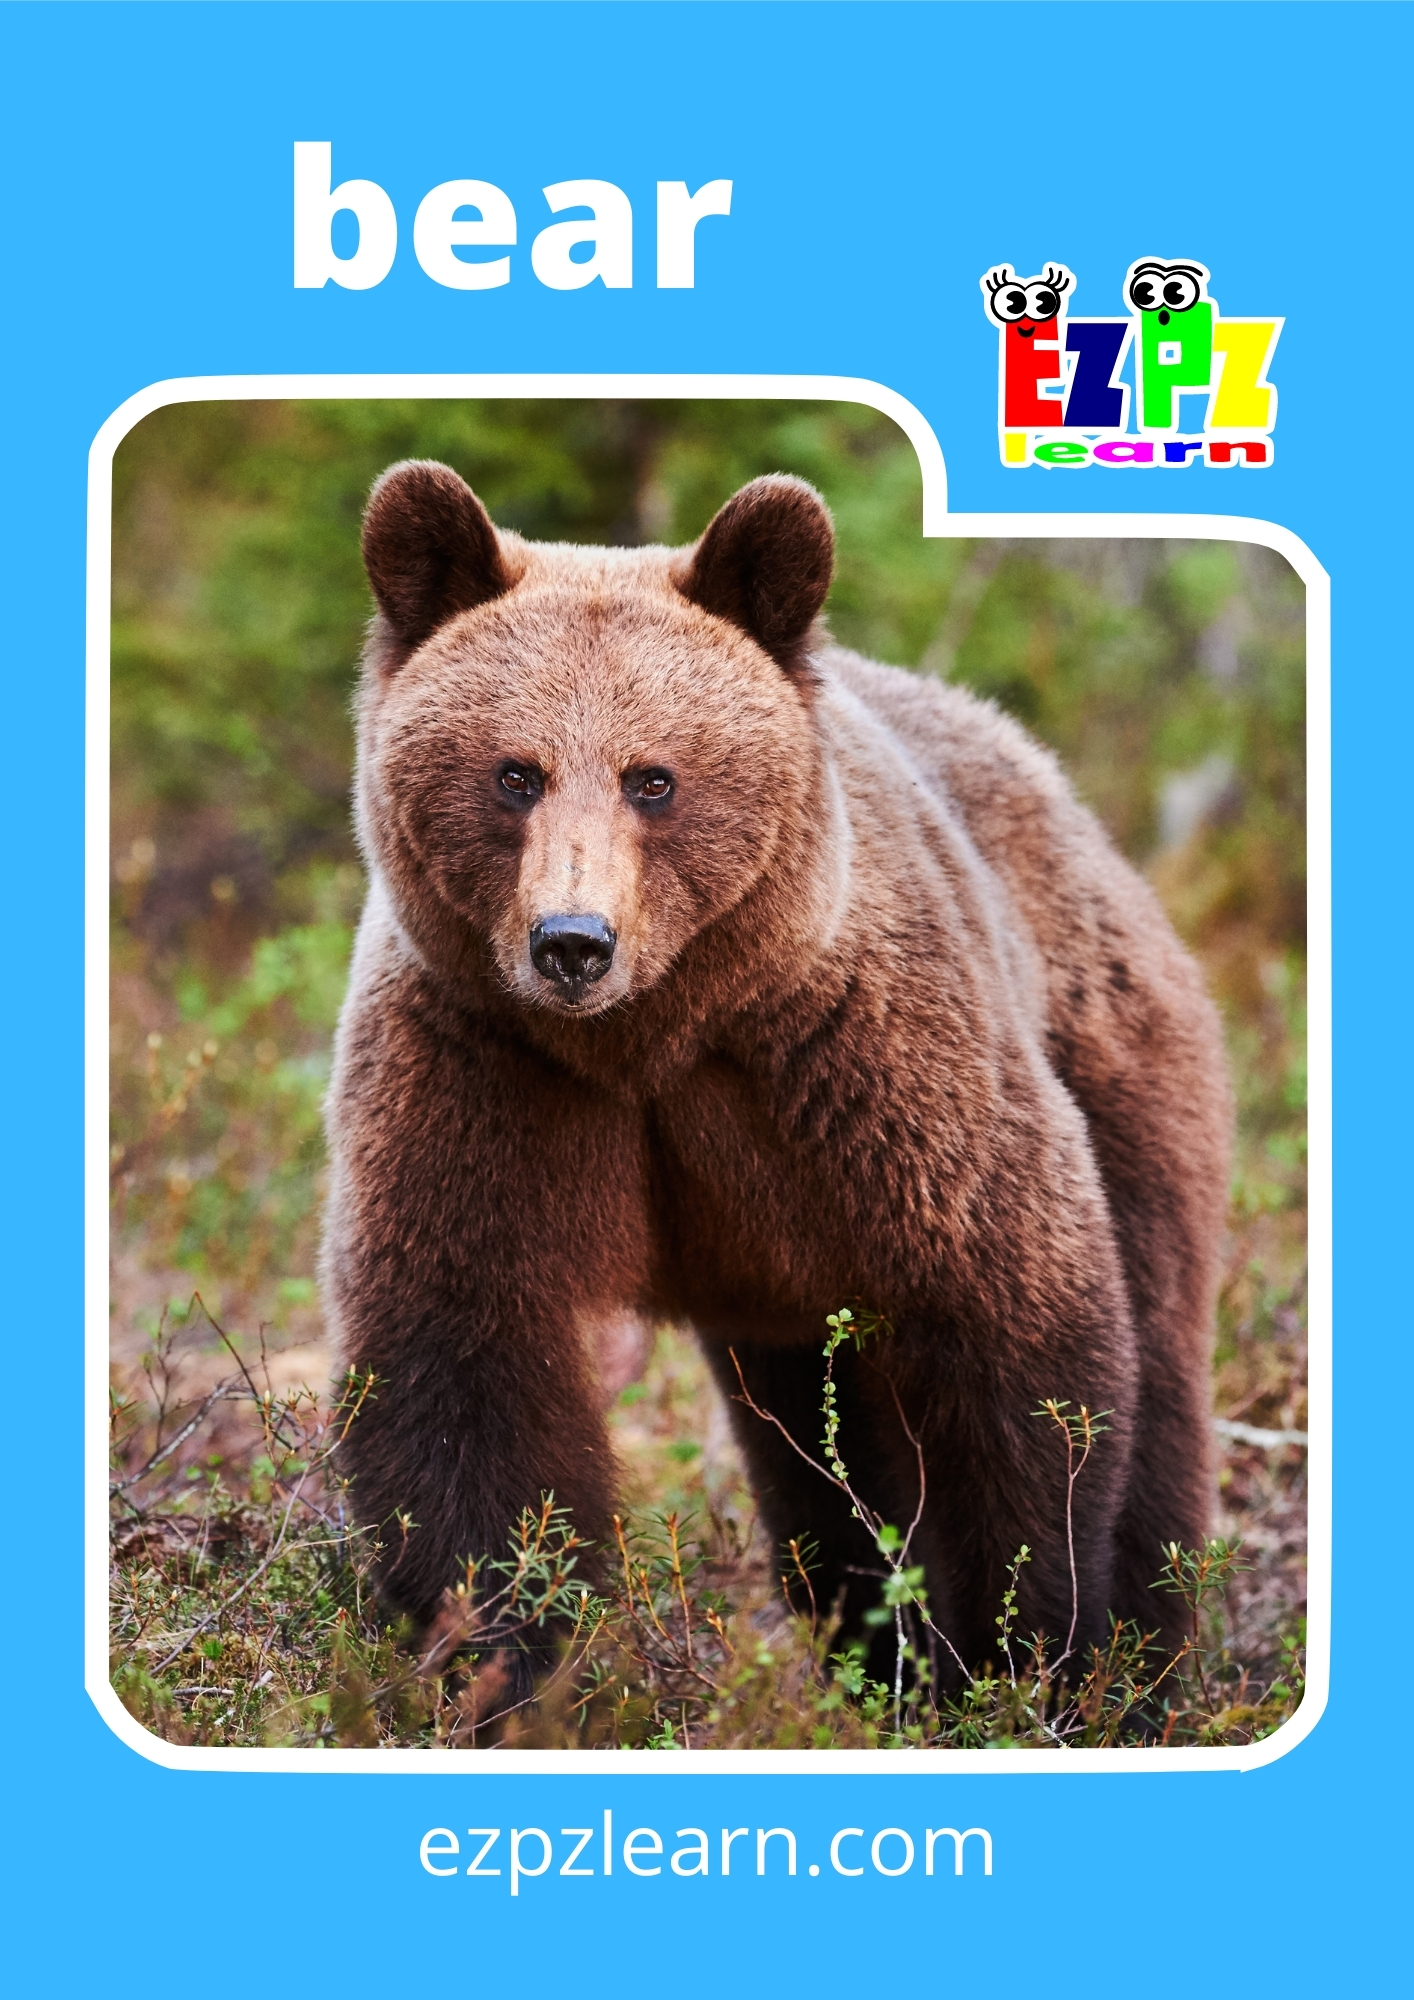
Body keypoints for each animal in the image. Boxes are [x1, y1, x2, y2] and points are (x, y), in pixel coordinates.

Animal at [320, 459, 1233, 1693]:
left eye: (653, 779)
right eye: (514, 773)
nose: (572, 943)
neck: (655, 1035)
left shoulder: (866, 1069)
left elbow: (1009, 1333)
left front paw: (1016, 1650)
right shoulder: (483, 1069)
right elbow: (463, 1365)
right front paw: (509, 1655)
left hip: (1112, 1054)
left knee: (1155, 1341)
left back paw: (1139, 1657)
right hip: (779, 1288)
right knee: (811, 1453)